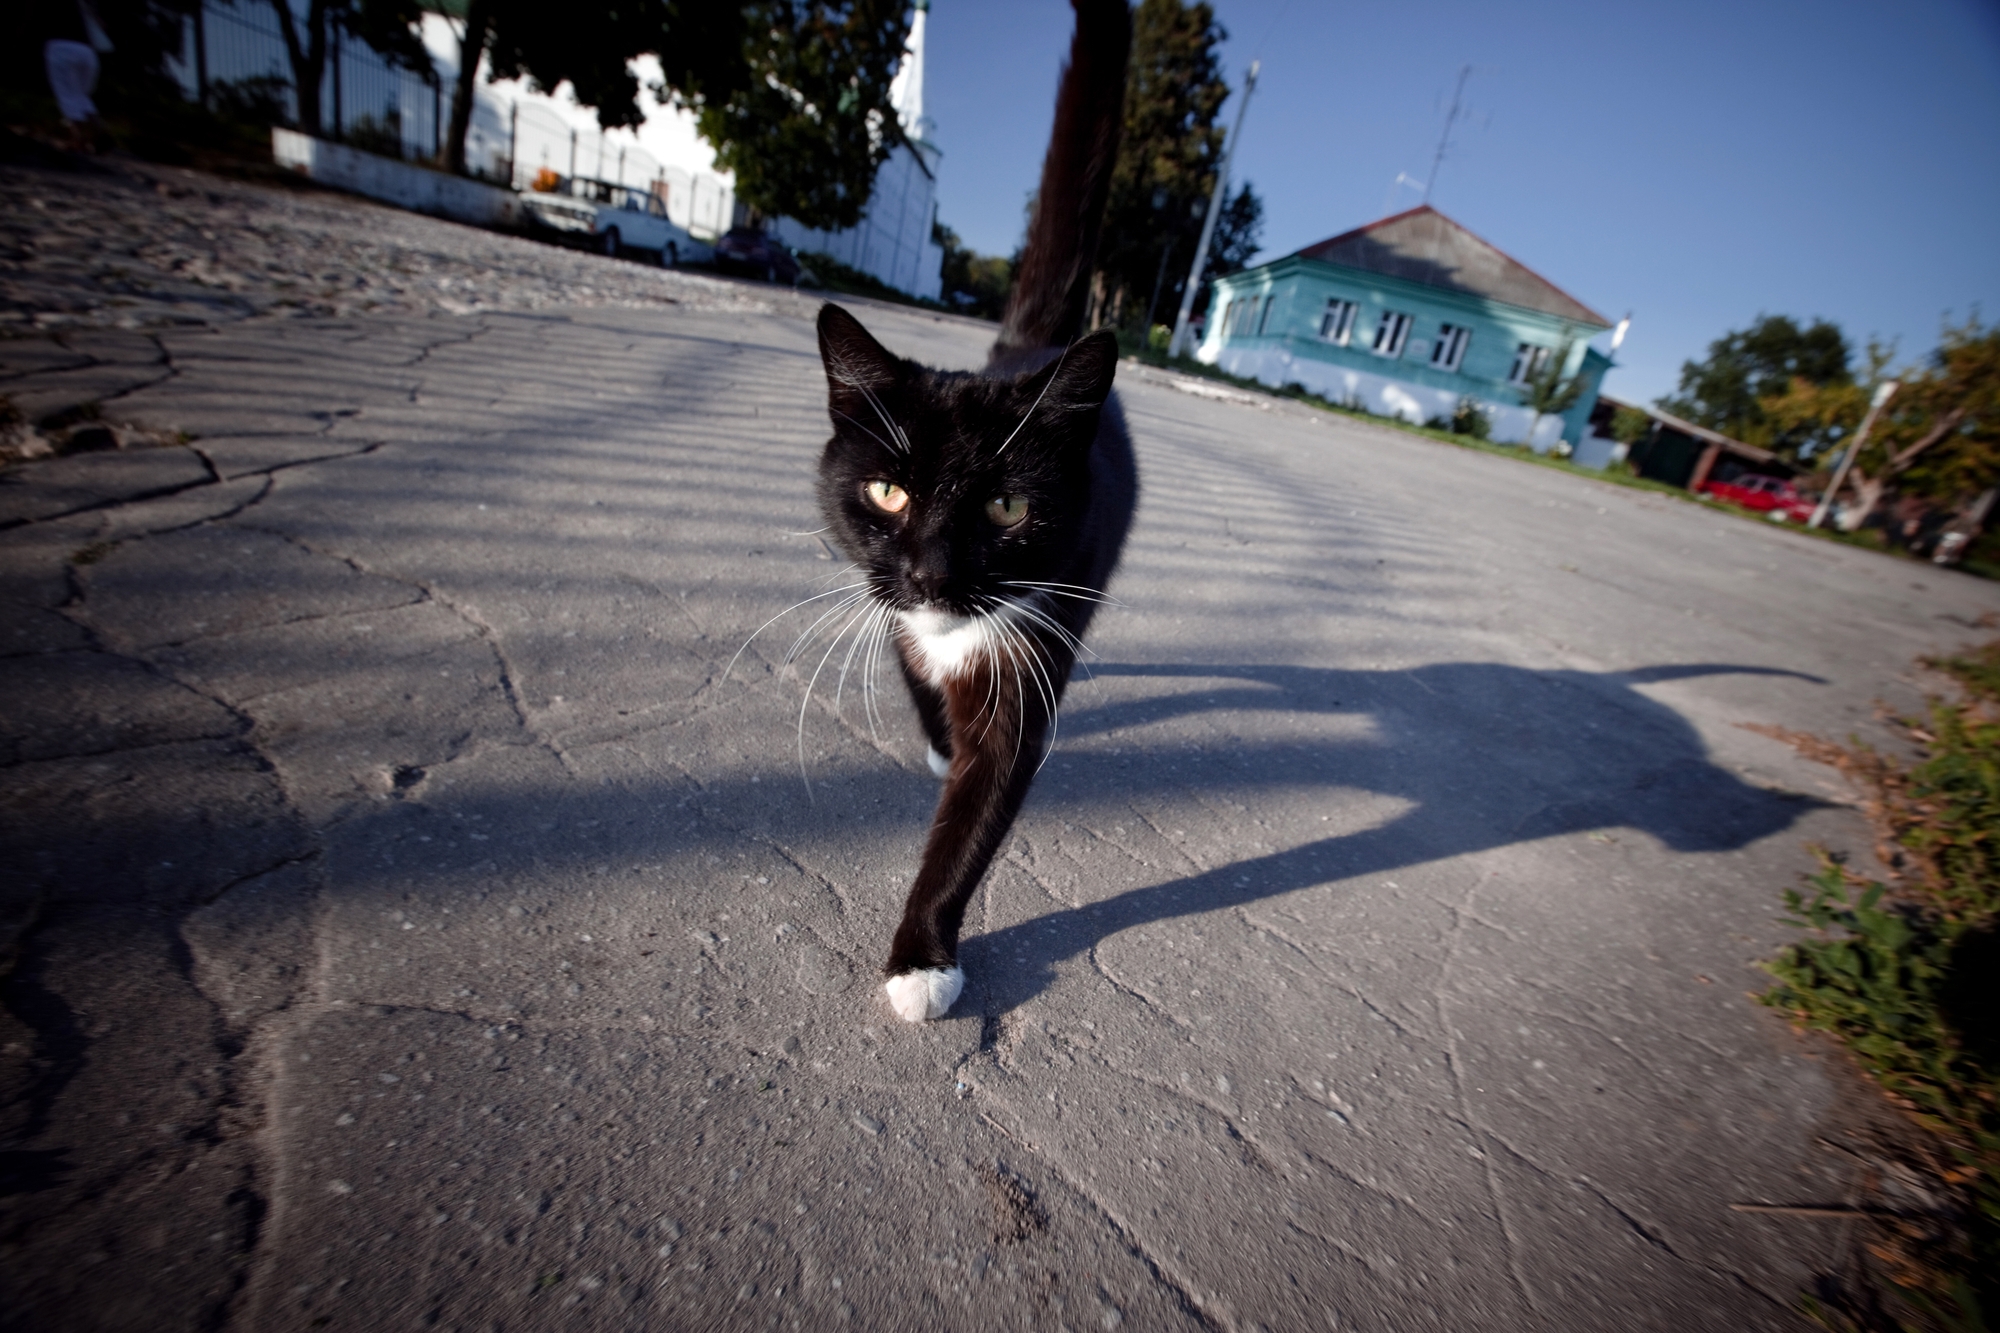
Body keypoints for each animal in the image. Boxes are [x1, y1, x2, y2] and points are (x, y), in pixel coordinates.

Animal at [808, 0, 1128, 1016]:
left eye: (1007, 506)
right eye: (888, 489)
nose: (932, 572)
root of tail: (1031, 347)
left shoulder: (1030, 646)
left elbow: (979, 811)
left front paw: (921, 960)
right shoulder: (886, 599)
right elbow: (914, 673)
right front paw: (940, 739)